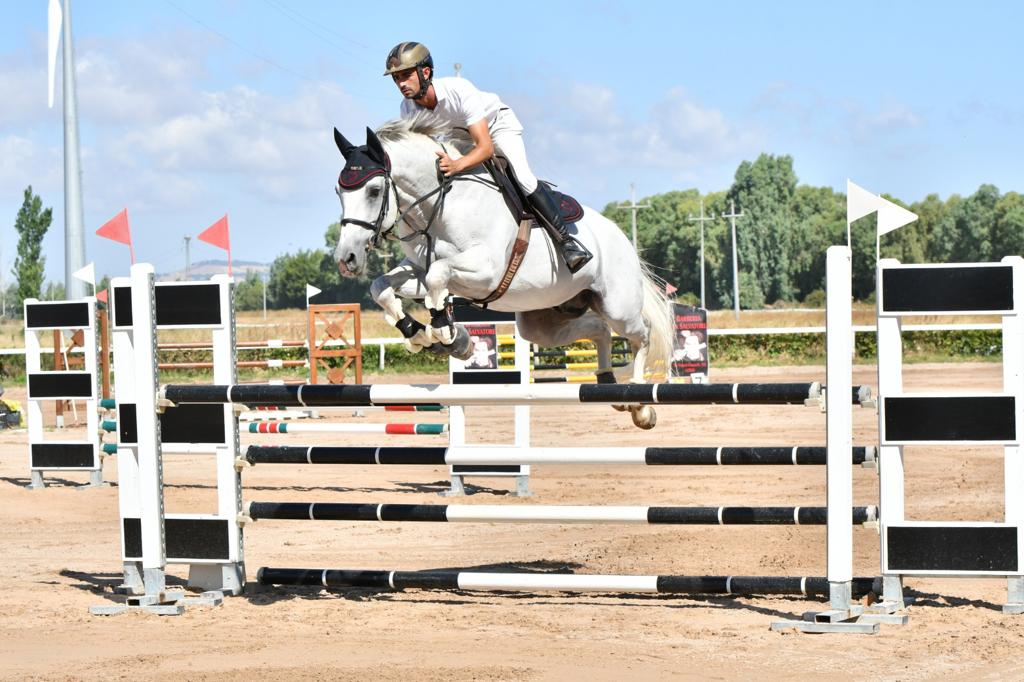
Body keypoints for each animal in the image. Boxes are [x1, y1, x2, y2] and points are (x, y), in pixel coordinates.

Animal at [332, 115, 674, 429]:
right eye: (338, 192)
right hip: (543, 322)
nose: (346, 258)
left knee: (641, 336)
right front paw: (419, 334)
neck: (442, 205)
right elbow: (383, 286)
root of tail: (622, 237)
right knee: (598, 329)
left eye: (374, 190)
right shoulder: (420, 269)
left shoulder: (486, 272)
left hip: (618, 307)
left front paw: (447, 334)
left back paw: (640, 404)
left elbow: (438, 275)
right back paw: (608, 382)